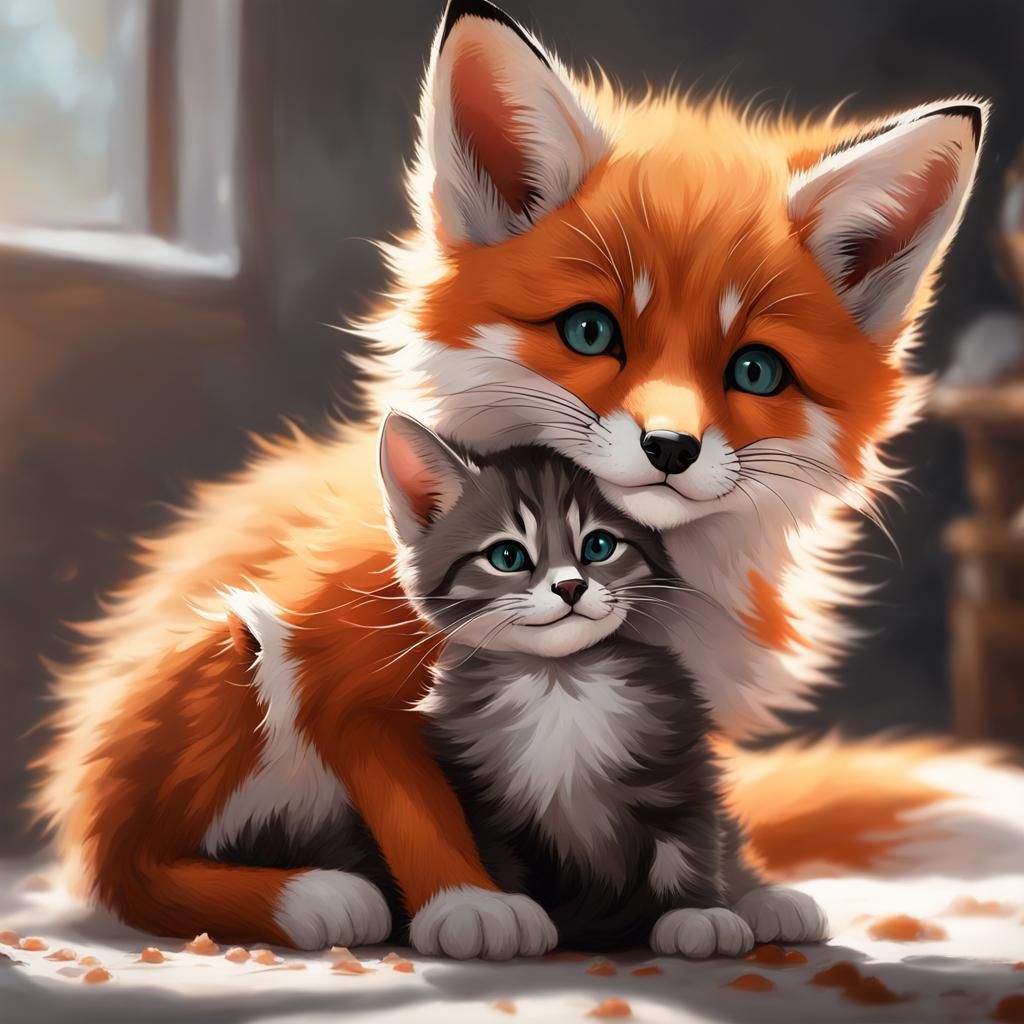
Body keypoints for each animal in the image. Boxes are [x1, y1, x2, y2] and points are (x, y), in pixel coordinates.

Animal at [33, 0, 988, 956]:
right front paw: (471, 903)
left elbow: (708, 816)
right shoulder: (341, 679)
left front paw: (736, 897)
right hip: (232, 651)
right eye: (591, 331)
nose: (671, 448)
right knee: (128, 872)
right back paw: (312, 894)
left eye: (755, 372)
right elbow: (423, 810)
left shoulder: (689, 722)